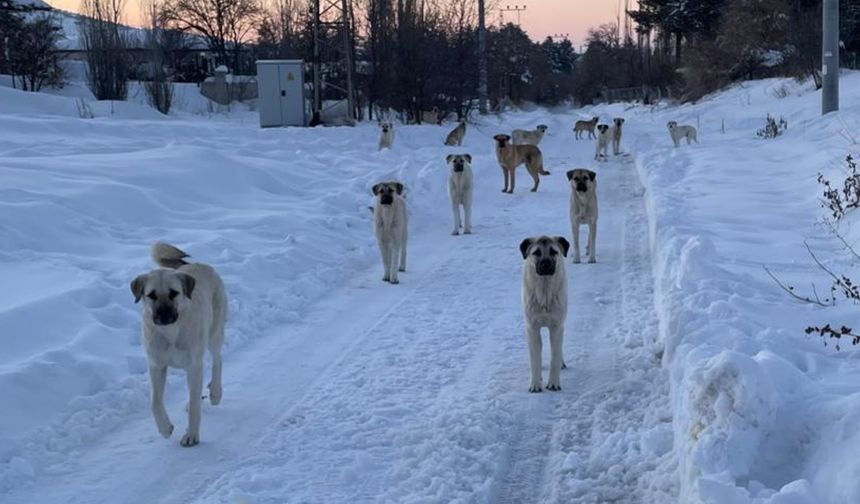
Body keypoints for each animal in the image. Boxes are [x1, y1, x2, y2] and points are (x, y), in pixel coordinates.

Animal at [129, 242, 227, 446]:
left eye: (174, 293)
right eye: (151, 295)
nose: (164, 316)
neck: (171, 333)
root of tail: (199, 264)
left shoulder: (194, 365)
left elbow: (196, 405)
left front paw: (191, 435)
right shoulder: (157, 365)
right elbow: (155, 402)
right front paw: (165, 428)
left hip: (214, 334)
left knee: (217, 359)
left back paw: (215, 392)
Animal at [516, 236, 572, 394]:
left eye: (554, 251)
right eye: (536, 252)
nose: (545, 263)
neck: (544, 293)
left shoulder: (557, 326)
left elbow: (554, 356)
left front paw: (553, 384)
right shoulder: (532, 328)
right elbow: (535, 358)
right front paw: (535, 384)